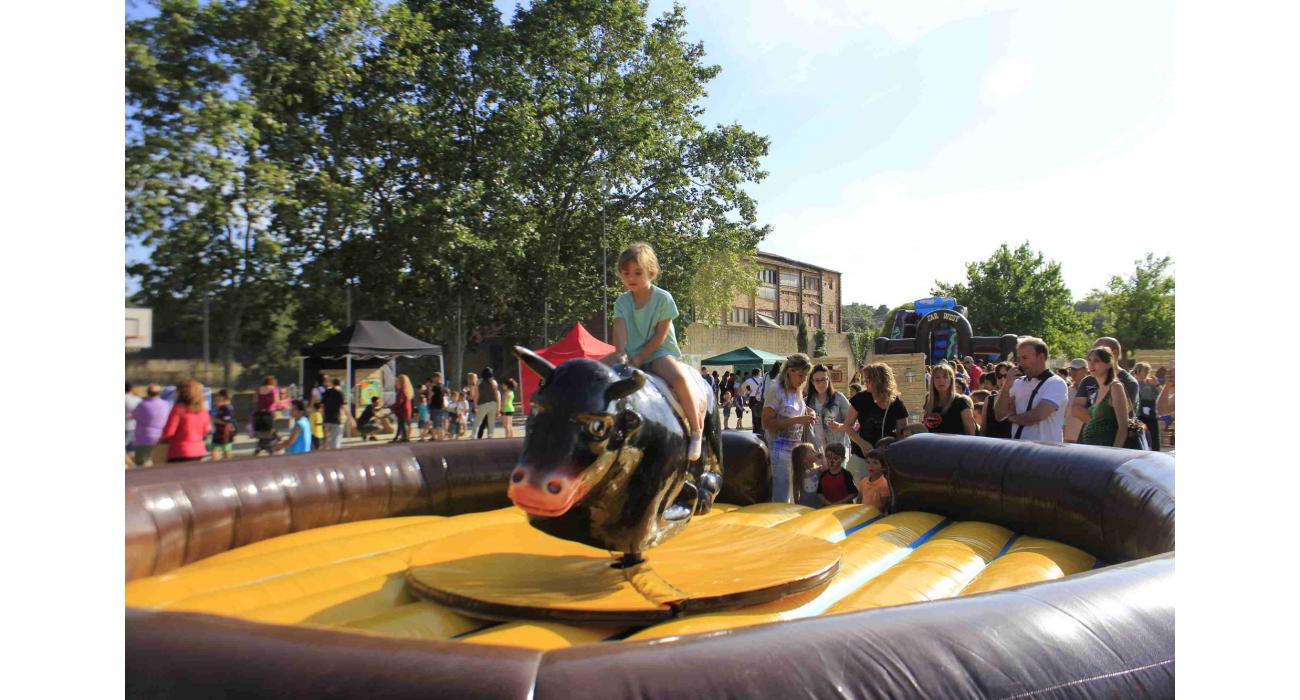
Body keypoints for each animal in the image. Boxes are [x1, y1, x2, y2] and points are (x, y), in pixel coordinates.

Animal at [506, 343, 728, 562]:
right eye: (535, 407)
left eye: (598, 426)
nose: (532, 488)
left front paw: (691, 497)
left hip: (713, 426)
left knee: (716, 468)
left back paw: (704, 495)